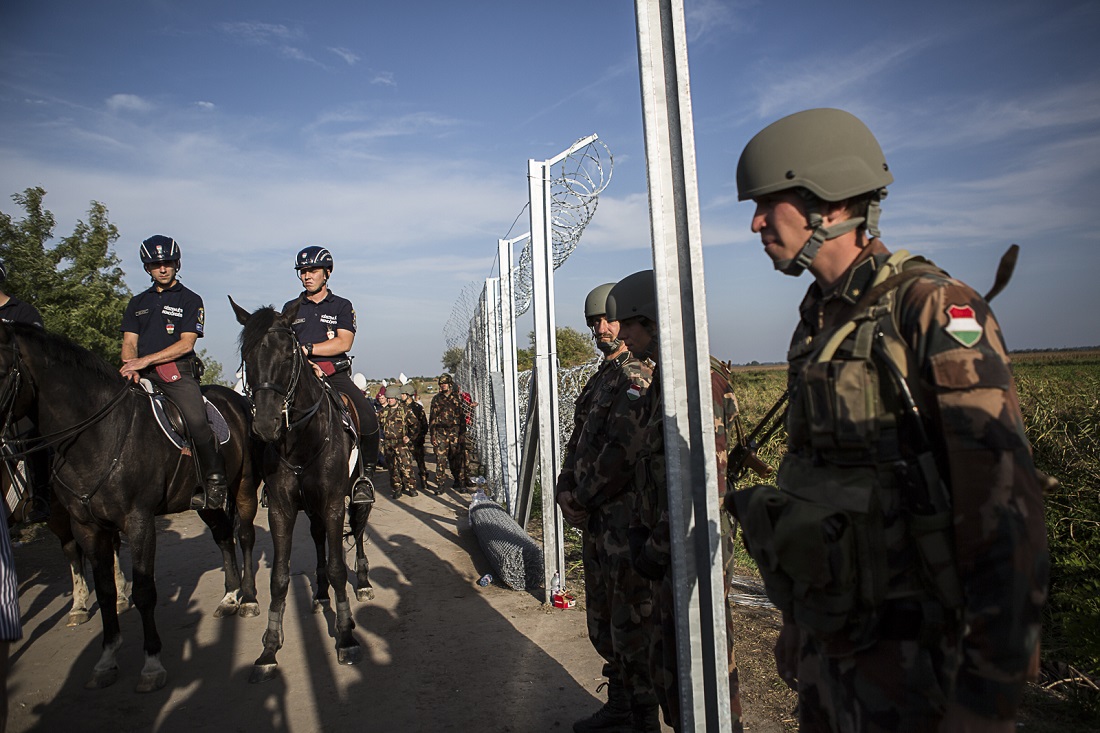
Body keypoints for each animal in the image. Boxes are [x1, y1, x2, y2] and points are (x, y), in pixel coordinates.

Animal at [0, 321, 260, 691]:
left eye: (1, 368)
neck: (97, 434)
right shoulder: (86, 525)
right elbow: (105, 590)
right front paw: (106, 659)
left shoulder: (139, 520)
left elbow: (145, 590)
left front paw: (152, 663)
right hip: (207, 502)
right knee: (224, 537)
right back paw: (229, 597)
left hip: (244, 486)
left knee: (246, 536)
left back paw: (249, 598)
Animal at [229, 294, 376, 677]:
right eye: (247, 356)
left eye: (287, 354)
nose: (265, 425)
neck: (301, 440)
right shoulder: (282, 508)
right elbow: (280, 578)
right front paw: (269, 647)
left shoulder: (334, 503)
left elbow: (340, 568)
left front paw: (345, 636)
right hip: (310, 508)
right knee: (319, 537)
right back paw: (321, 592)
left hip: (356, 497)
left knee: (358, 532)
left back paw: (363, 583)